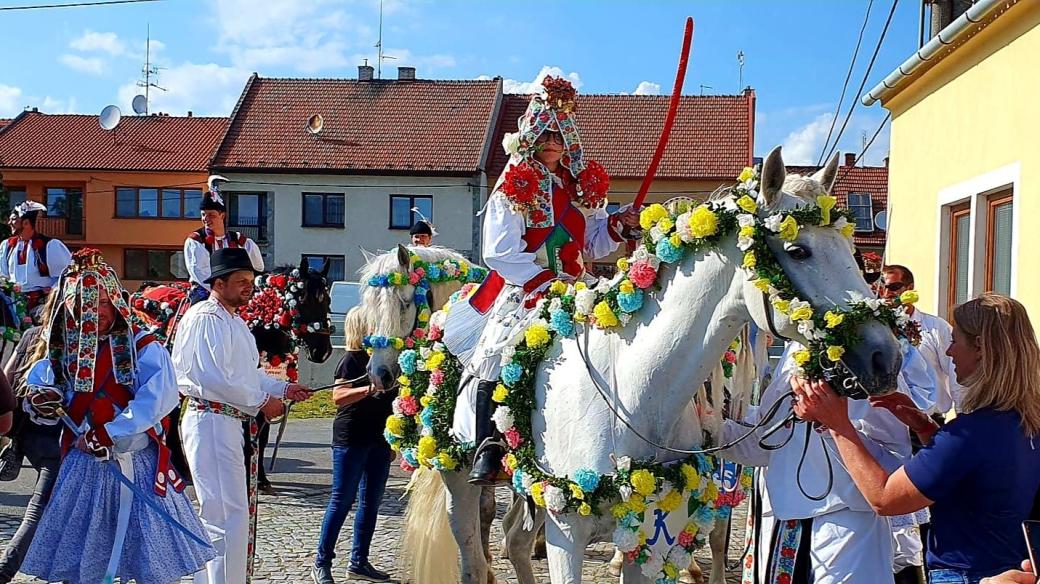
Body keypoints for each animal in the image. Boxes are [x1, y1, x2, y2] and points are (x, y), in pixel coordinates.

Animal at [361, 146, 906, 581]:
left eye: (853, 250)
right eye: (797, 248)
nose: (885, 357)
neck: (633, 392)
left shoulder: (649, 530)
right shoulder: (565, 533)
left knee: (513, 542)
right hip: (459, 478)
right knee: (474, 556)